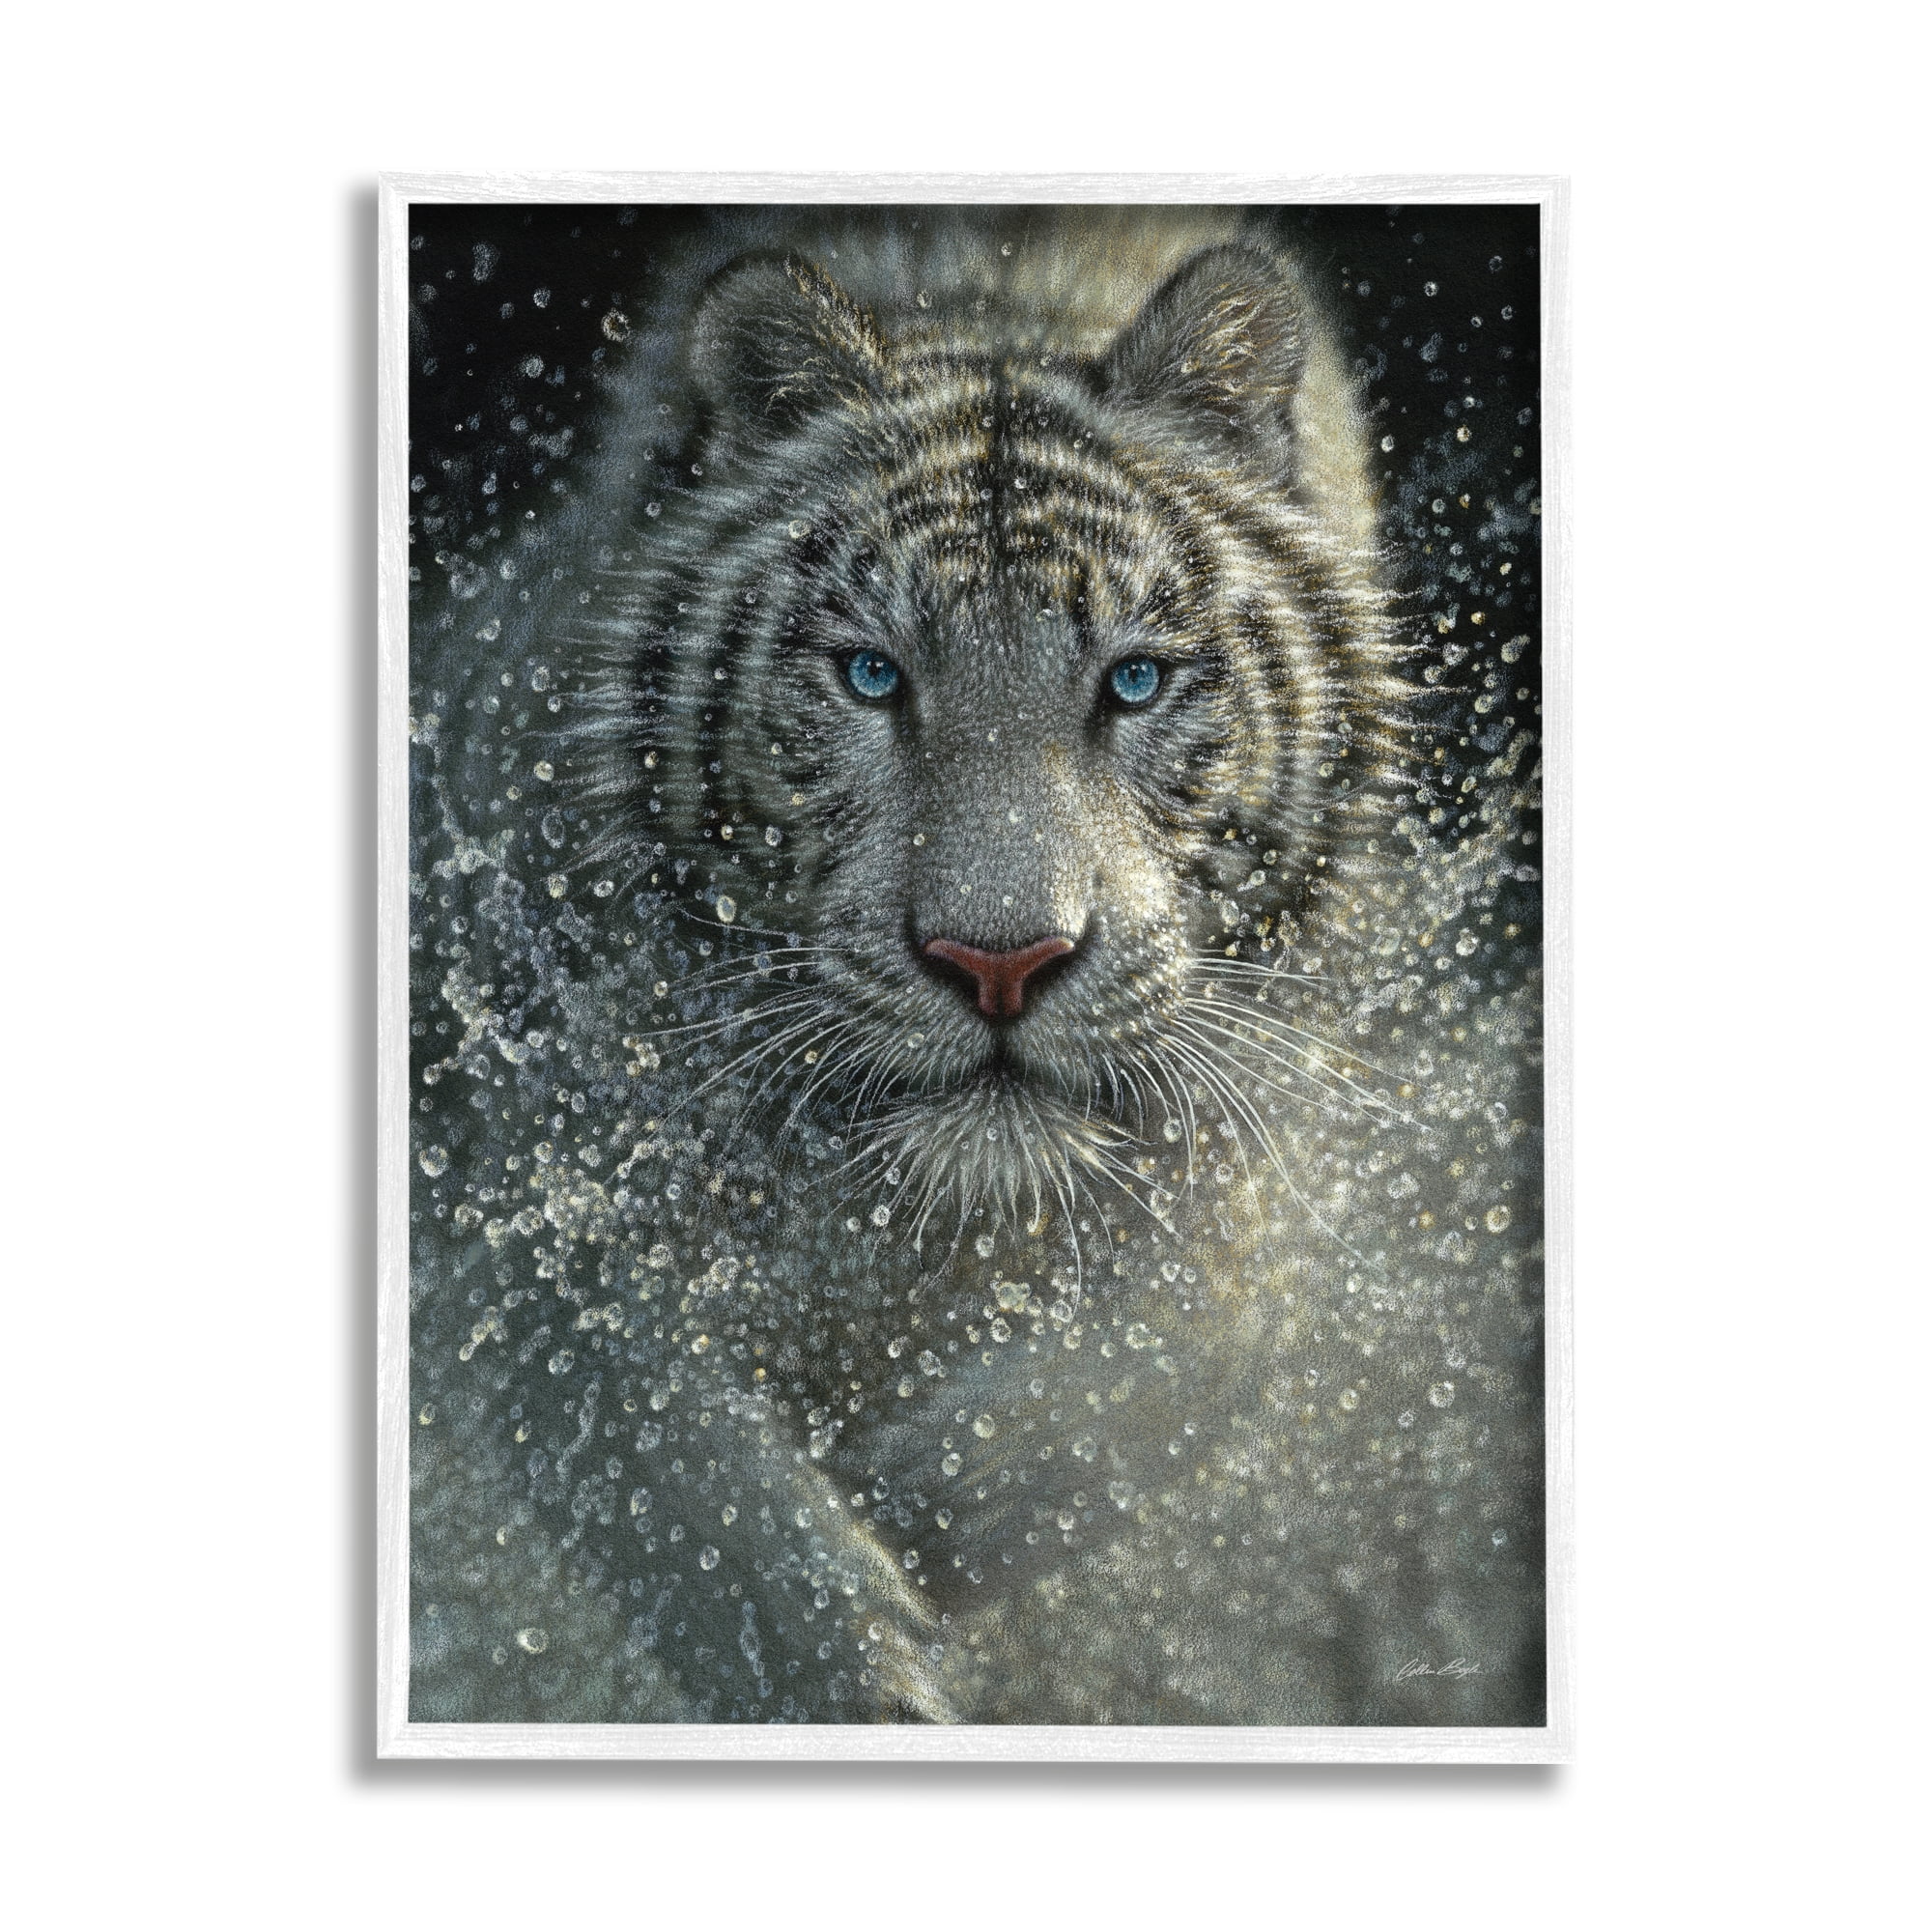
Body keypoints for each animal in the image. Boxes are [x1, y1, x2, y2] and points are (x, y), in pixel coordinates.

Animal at [406, 207, 1546, 1730]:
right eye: (870, 676)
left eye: (1134, 680)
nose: (999, 963)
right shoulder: (512, 1185)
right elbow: (676, 1470)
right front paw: (855, 1641)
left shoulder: (1258, 1148)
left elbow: (1188, 1362)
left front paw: (912, 1507)